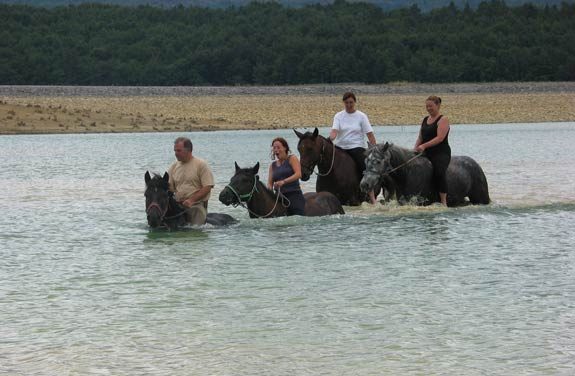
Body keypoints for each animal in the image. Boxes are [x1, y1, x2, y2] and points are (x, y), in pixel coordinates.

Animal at [360, 142, 490, 206]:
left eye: (378, 161)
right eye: (365, 161)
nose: (364, 184)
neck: (407, 174)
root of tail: (475, 164)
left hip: (481, 198)